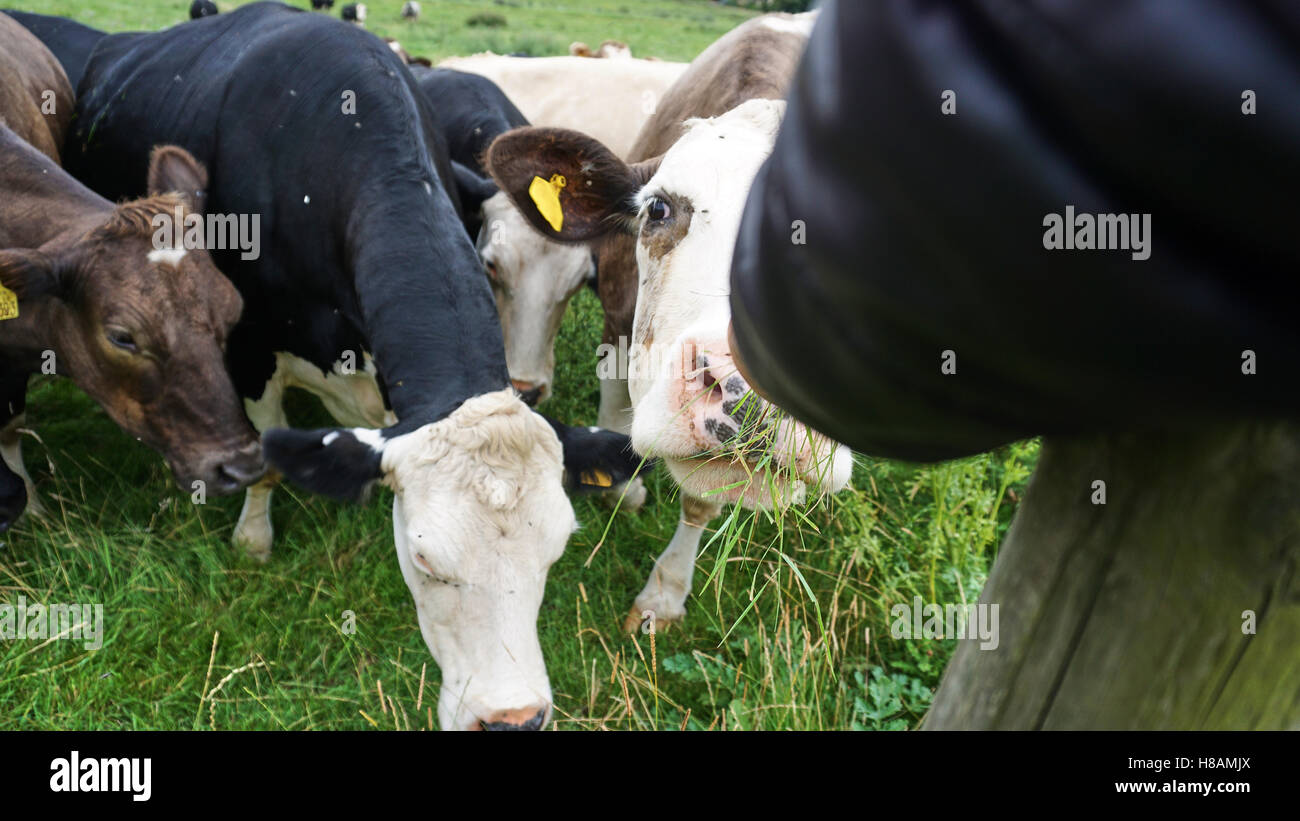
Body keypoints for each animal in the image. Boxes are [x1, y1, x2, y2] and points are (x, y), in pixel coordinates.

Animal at [483, 11, 847, 628]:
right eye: (658, 208)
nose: (754, 387)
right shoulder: (615, 308)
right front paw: (621, 488)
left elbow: (702, 500)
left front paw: (664, 593)